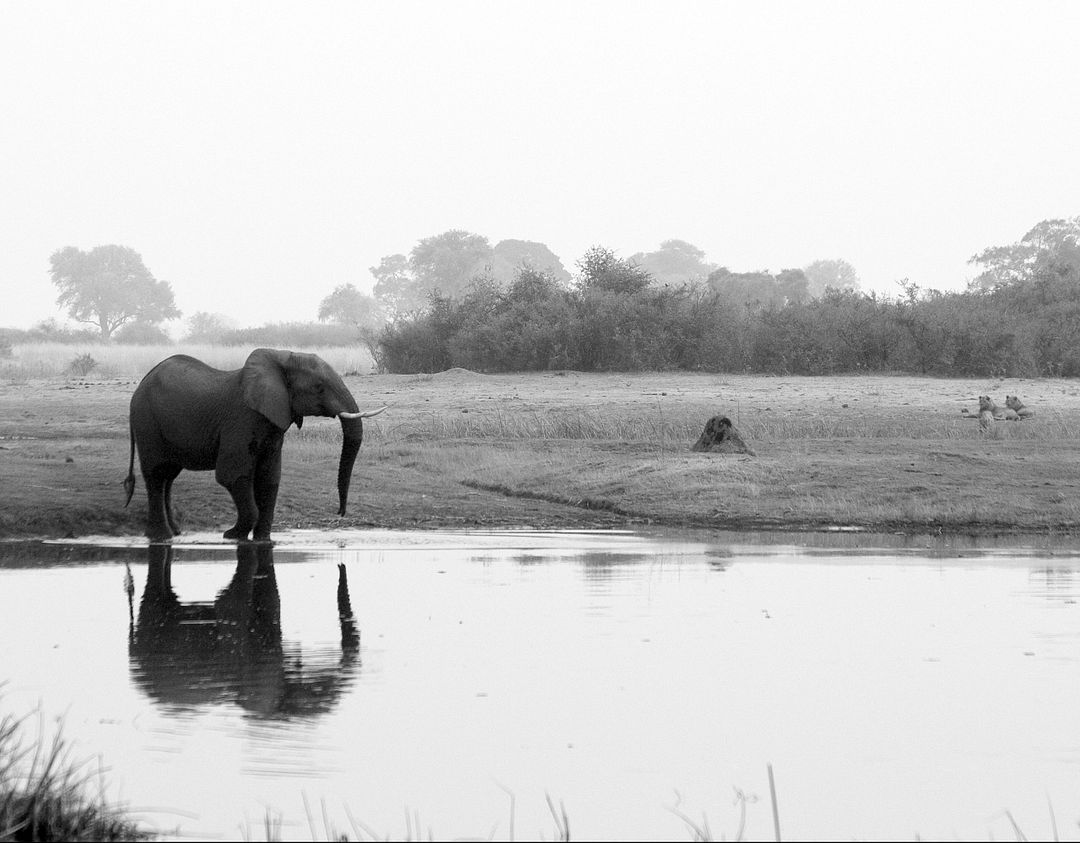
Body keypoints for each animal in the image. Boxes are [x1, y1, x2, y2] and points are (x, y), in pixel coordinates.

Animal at [123, 347, 384, 539]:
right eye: (319, 388)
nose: (340, 512)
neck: (282, 357)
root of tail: (142, 382)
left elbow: (270, 478)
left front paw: (262, 540)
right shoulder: (241, 420)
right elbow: (232, 475)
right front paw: (232, 536)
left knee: (169, 476)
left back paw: (175, 533)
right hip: (146, 421)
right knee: (156, 474)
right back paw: (161, 537)